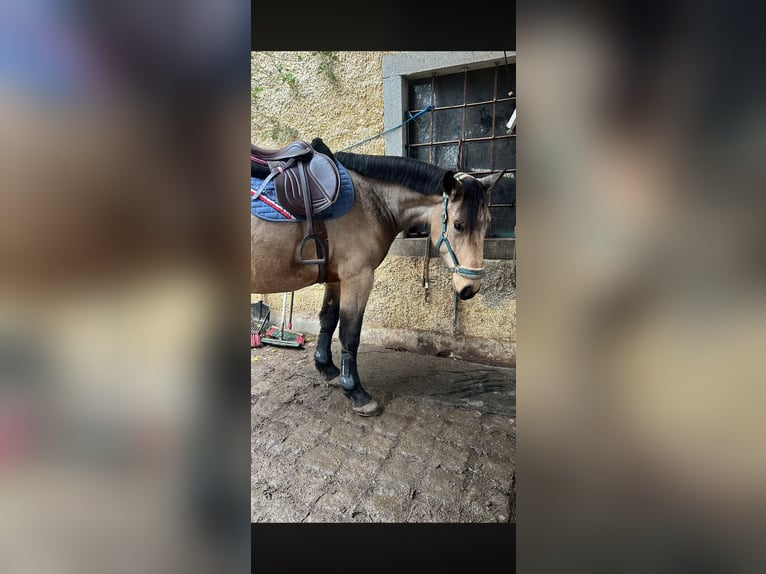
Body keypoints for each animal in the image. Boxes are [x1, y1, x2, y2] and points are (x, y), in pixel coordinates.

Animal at [251, 139, 504, 416]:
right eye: (458, 225)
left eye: (487, 222)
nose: (470, 287)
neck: (368, 201)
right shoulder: (358, 278)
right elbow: (350, 333)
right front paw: (355, 391)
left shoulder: (336, 279)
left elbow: (328, 320)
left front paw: (327, 369)